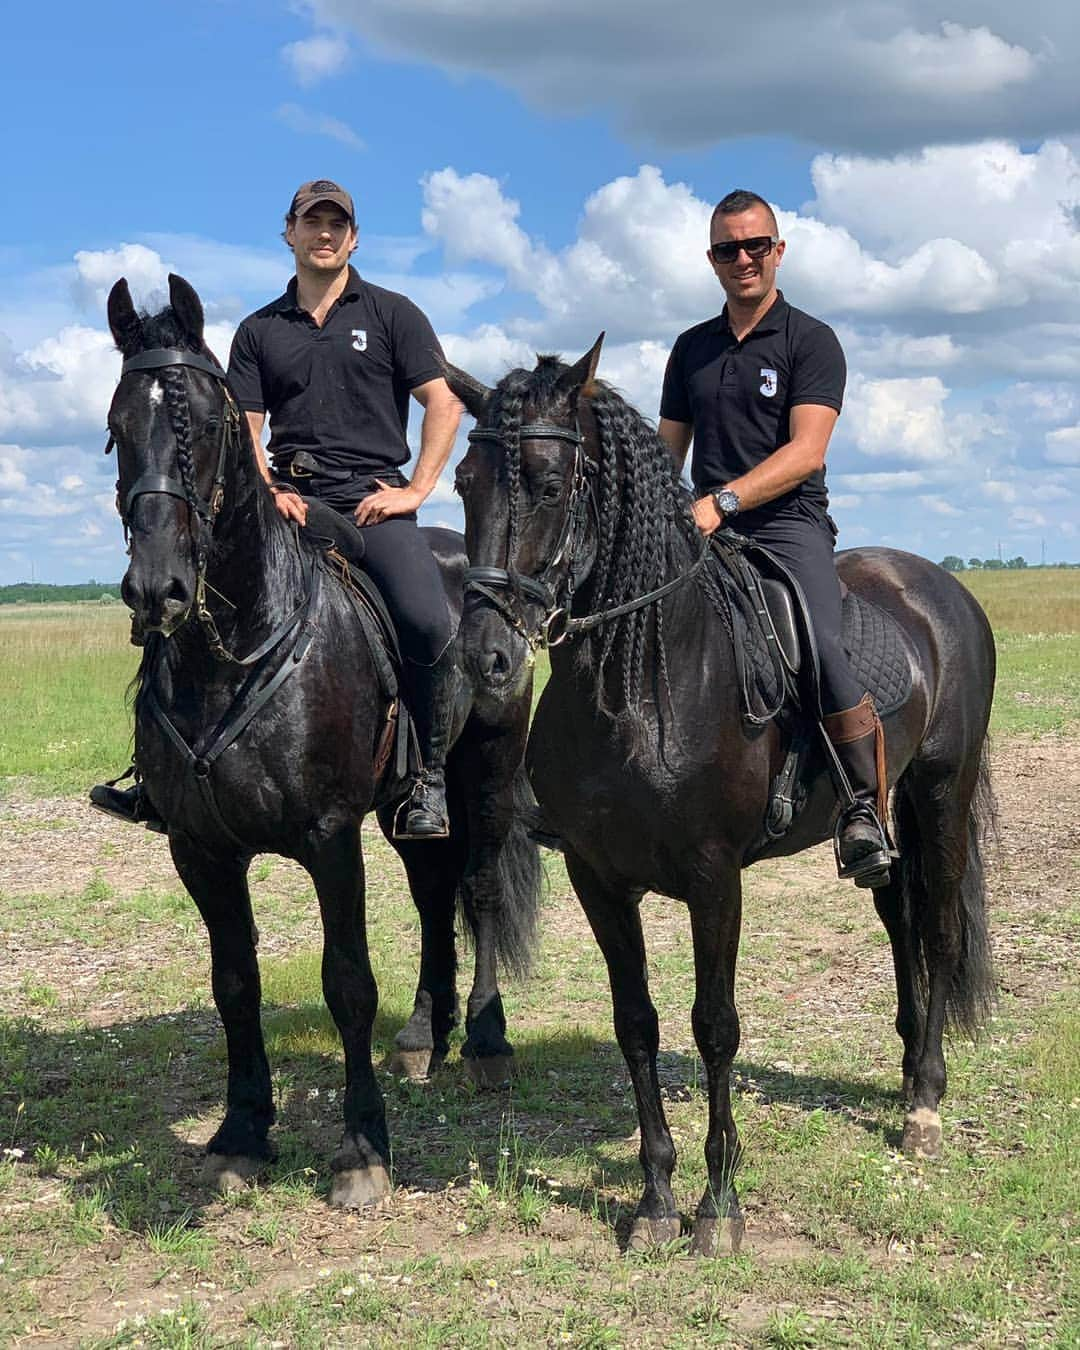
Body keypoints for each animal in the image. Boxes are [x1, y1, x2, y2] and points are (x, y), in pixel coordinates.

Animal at [101, 271, 540, 1204]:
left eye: (207, 425)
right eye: (118, 427)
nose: (158, 590)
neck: (230, 659)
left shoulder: (330, 838)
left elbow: (348, 984)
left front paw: (363, 1148)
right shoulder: (199, 849)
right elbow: (235, 984)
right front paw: (241, 1131)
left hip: (489, 774)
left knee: (479, 888)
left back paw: (485, 1042)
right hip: (407, 812)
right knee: (433, 895)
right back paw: (423, 1037)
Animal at [445, 340, 993, 1252]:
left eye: (550, 486)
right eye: (463, 483)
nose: (484, 657)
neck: (640, 690)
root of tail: (937, 586)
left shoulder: (714, 879)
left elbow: (715, 1025)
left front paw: (719, 1201)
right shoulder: (598, 879)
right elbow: (636, 1022)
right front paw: (657, 1198)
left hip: (941, 792)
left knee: (941, 926)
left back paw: (924, 1101)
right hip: (885, 817)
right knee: (901, 919)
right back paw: (909, 1064)